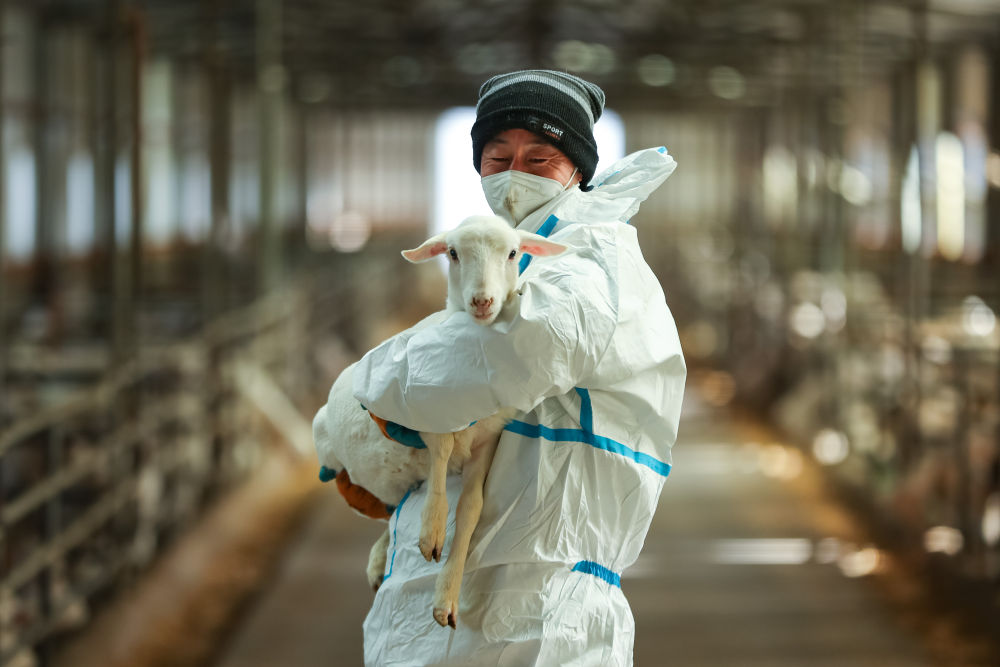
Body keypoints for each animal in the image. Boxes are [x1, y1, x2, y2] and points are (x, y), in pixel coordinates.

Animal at [314, 217, 564, 628]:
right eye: (453, 253)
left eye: (513, 253)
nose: (482, 301)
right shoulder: (424, 408)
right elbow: (441, 454)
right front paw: (431, 528)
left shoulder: (487, 441)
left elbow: (471, 508)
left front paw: (446, 597)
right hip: (324, 438)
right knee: (387, 507)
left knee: (393, 509)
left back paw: (379, 559)